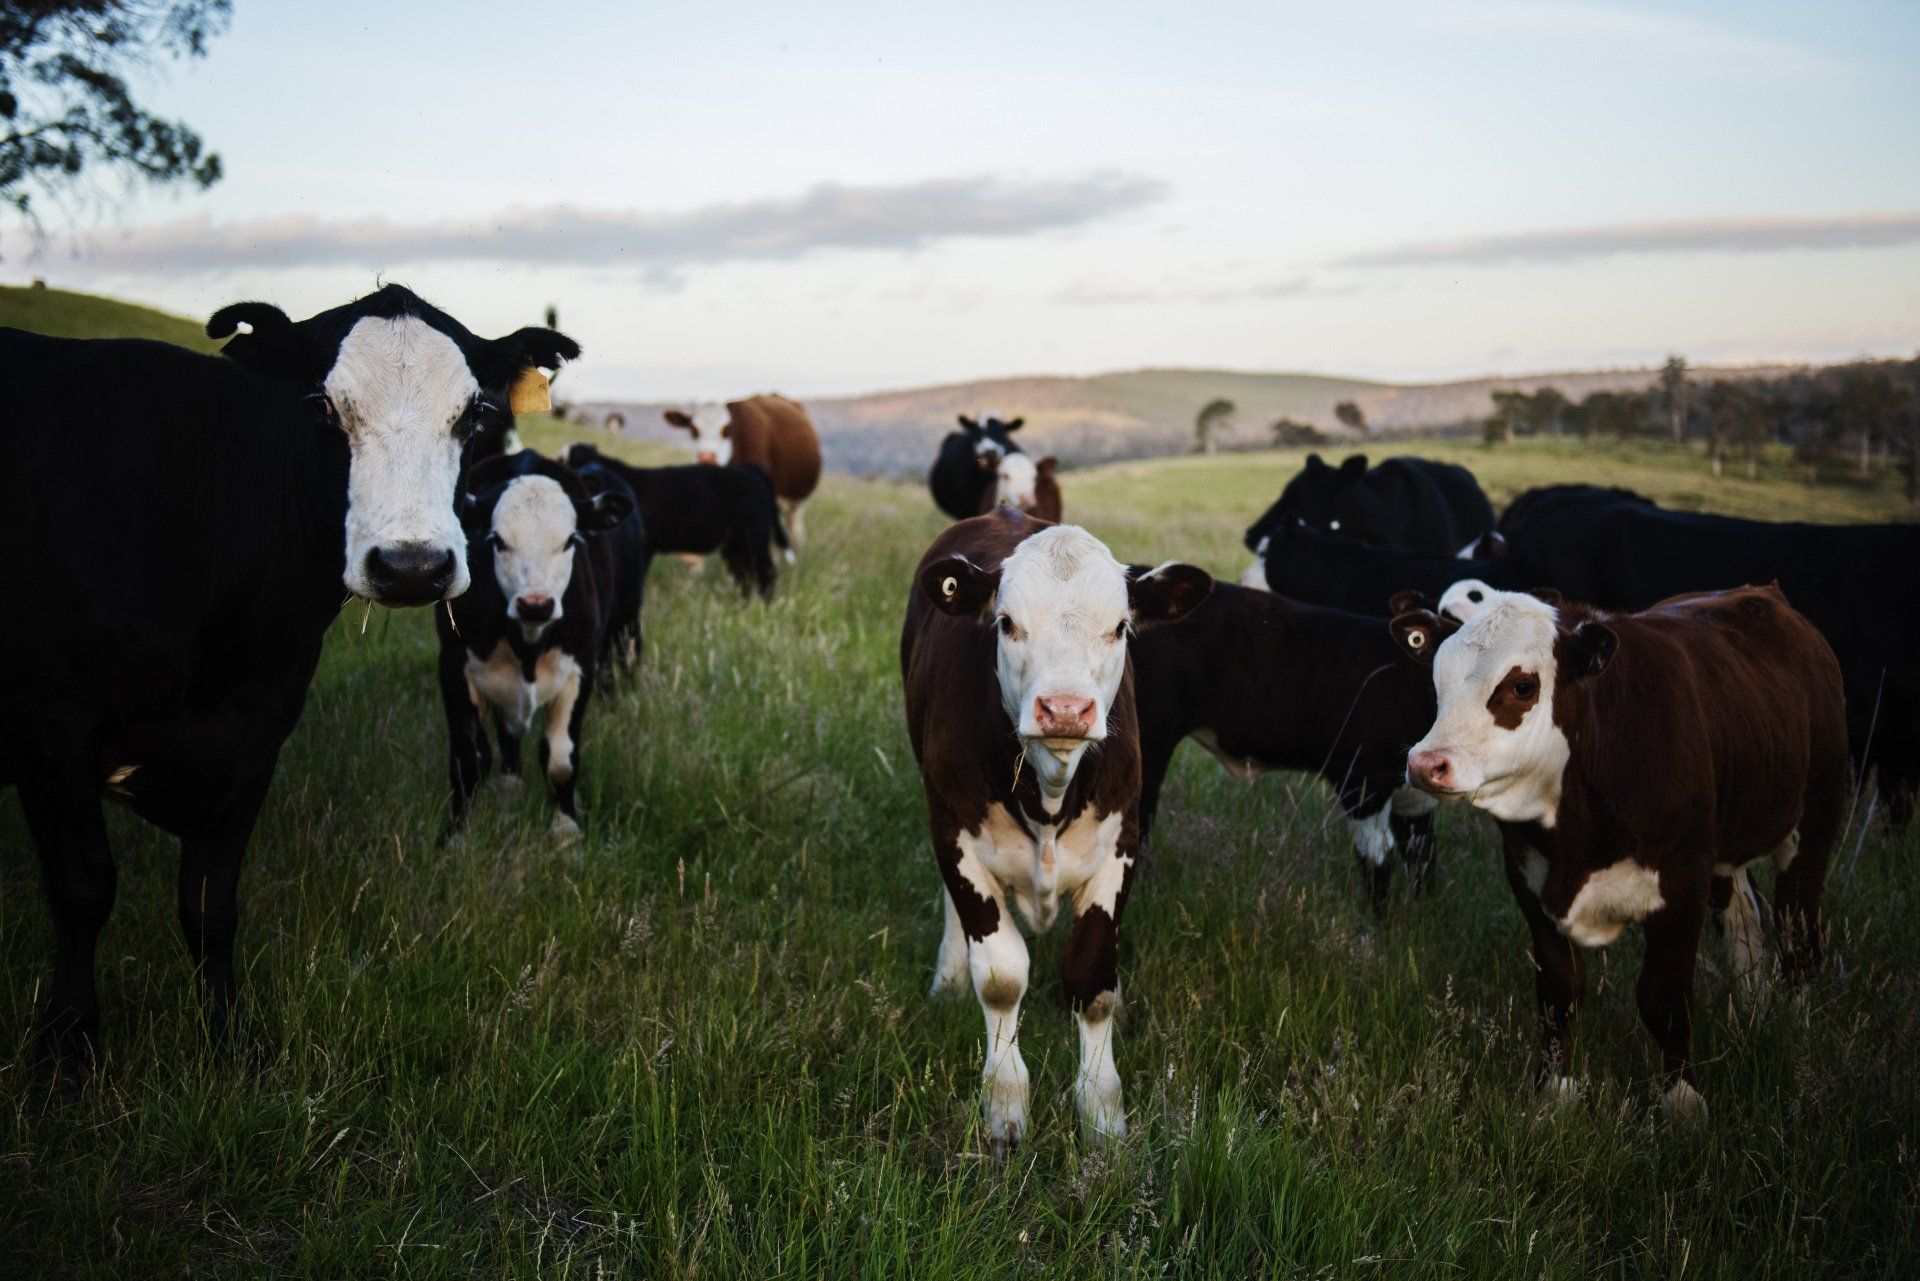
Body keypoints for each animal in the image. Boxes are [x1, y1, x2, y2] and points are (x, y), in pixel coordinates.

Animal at [0, 283, 579, 1072]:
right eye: (322, 409)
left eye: (475, 414)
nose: (412, 566)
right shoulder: (52, 728)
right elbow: (84, 889)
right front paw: (68, 1048)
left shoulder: (256, 730)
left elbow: (210, 903)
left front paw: (227, 1040)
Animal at [438, 453, 640, 841]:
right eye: (497, 541)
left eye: (570, 540)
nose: (536, 605)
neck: (527, 645)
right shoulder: (454, 665)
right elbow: (469, 758)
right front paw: (457, 835)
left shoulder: (581, 668)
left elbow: (560, 758)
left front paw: (566, 830)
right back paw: (509, 789)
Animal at [562, 442, 787, 599]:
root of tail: (752, 470)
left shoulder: (645, 546)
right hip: (735, 546)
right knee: (744, 575)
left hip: (754, 537)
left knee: (766, 573)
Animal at [901, 509, 1209, 1153]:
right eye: (1006, 622)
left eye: (1120, 627)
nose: (1065, 709)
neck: (1048, 790)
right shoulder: (955, 830)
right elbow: (1000, 978)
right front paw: (1004, 1107)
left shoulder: (1120, 844)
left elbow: (1091, 980)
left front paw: (1103, 1119)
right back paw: (947, 978)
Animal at [1392, 585, 1848, 1119]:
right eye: (1437, 680)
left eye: (1523, 687)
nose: (1426, 764)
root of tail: (1761, 593)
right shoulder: (1530, 881)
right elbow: (1561, 990)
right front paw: (1555, 1094)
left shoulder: (1681, 883)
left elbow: (1663, 997)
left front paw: (1682, 1103)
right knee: (1745, 926)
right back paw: (1751, 1019)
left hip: (1815, 817)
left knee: (1799, 934)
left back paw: (1792, 1035)